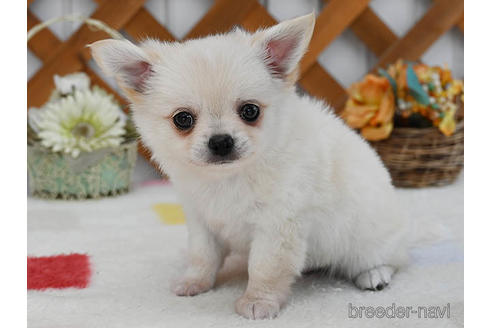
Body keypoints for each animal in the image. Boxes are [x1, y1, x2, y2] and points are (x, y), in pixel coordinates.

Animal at [90, 14, 410, 320]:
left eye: (250, 111)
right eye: (183, 119)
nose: (221, 141)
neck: (229, 178)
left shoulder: (277, 227)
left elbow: (264, 268)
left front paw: (258, 301)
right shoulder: (201, 220)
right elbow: (202, 255)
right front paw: (195, 282)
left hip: (367, 240)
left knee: (388, 259)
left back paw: (374, 274)